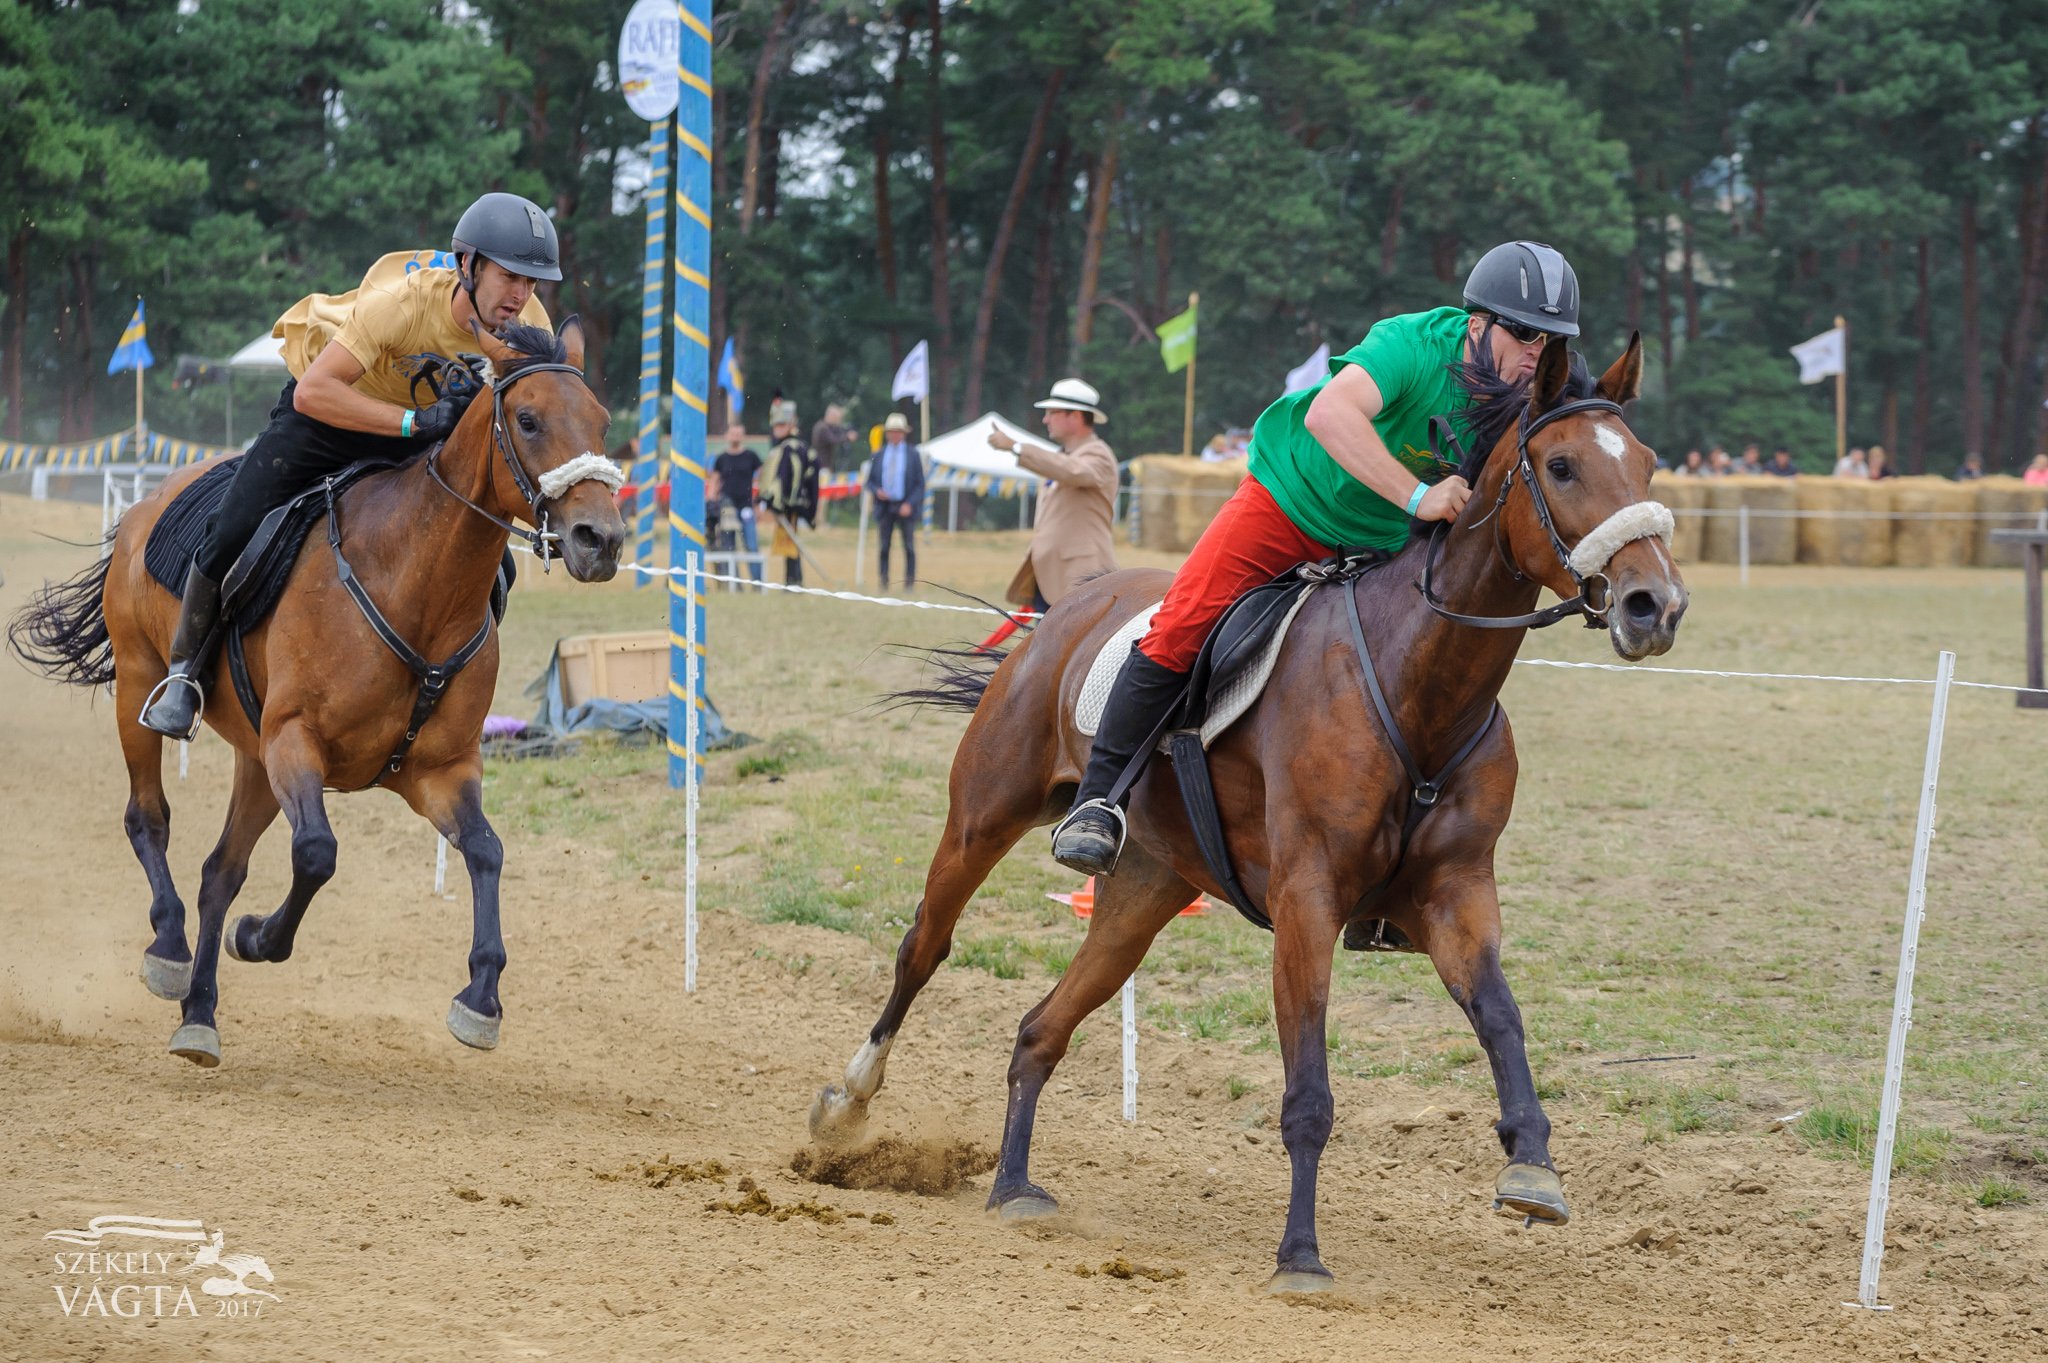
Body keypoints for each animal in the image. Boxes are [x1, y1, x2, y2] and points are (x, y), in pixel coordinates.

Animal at [8, 315, 622, 1064]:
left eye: (601, 421)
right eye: (528, 420)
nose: (601, 540)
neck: (413, 582)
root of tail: (144, 504)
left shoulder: (438, 770)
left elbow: (485, 851)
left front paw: (480, 997)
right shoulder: (295, 740)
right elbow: (316, 855)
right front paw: (257, 937)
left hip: (254, 757)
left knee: (220, 871)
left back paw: (200, 1014)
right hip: (141, 685)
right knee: (147, 816)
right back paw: (170, 948)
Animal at [806, 333, 1687, 1293]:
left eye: (1648, 463)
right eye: (1561, 466)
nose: (1655, 604)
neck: (1420, 681)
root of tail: (1061, 610)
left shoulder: (1456, 894)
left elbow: (1501, 1018)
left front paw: (1532, 1162)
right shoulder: (1307, 899)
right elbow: (1309, 1089)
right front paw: (1300, 1252)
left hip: (1145, 889)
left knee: (1041, 1028)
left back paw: (1012, 1185)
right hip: (984, 815)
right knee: (924, 944)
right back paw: (846, 1104)